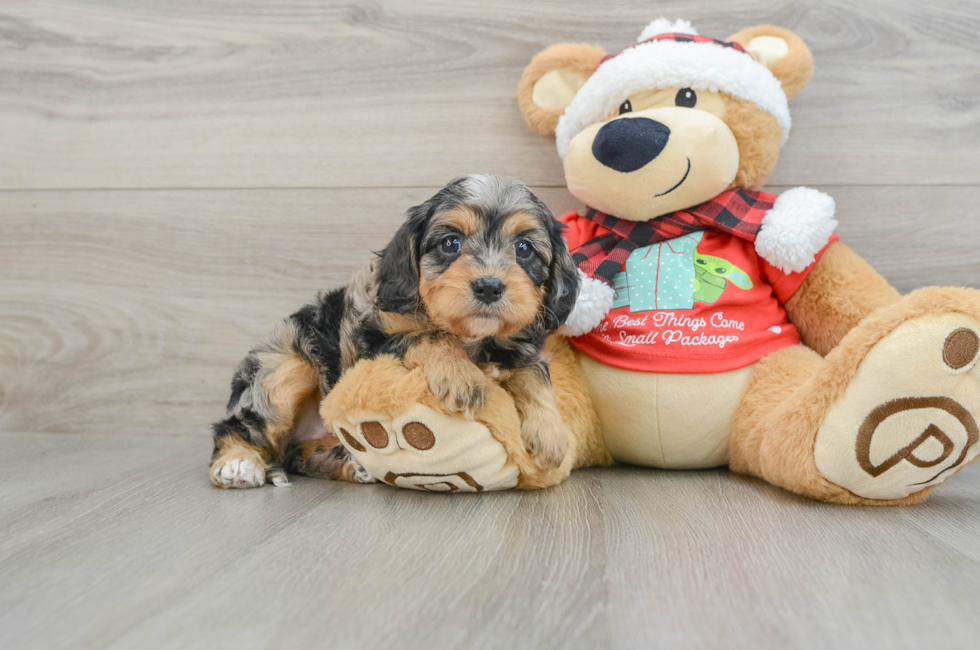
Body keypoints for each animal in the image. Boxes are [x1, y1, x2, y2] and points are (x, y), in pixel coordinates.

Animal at [212, 173, 580, 486]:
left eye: (524, 249)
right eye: (451, 243)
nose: (489, 287)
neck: (471, 337)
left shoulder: (522, 346)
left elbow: (534, 373)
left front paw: (551, 433)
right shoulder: (372, 341)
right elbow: (430, 335)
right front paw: (462, 376)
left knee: (297, 455)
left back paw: (350, 465)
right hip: (281, 372)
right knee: (237, 427)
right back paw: (238, 463)